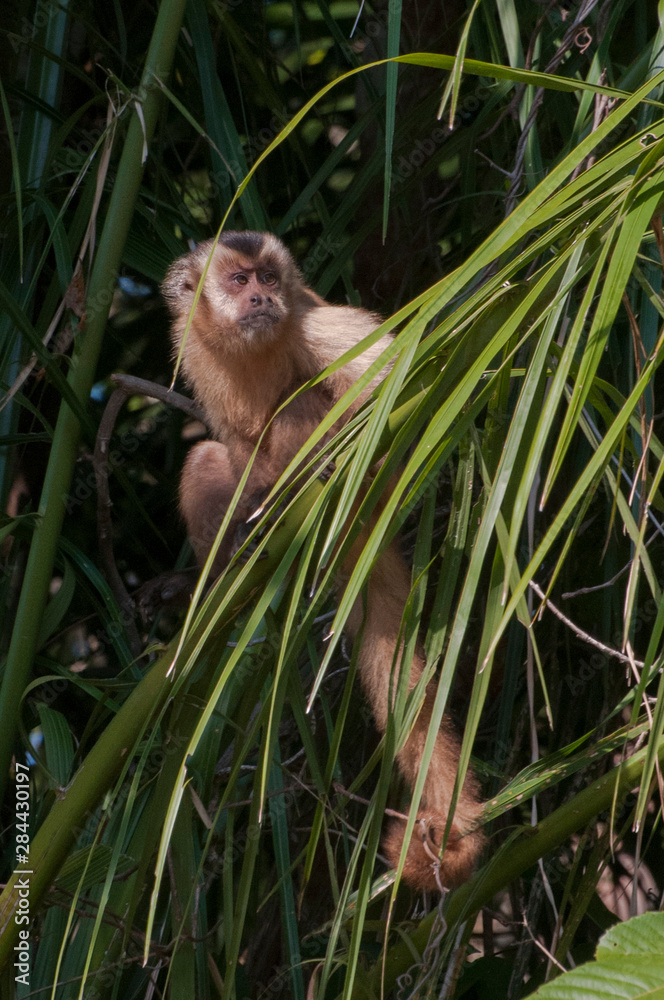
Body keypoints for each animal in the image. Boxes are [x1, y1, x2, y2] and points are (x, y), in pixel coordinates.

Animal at [161, 232, 482, 892]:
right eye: (238, 282)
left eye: (268, 279)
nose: (261, 297)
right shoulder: (193, 345)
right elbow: (231, 441)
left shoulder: (312, 322)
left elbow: (403, 385)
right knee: (209, 459)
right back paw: (239, 552)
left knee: (303, 406)